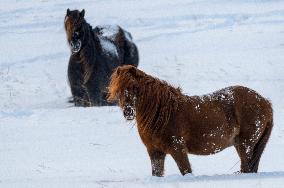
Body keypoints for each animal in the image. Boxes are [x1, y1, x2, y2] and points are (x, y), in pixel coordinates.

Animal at [108, 65, 272, 177]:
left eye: (135, 87)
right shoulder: (155, 152)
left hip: (245, 144)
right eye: (118, 90)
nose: (128, 112)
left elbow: (186, 170)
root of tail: (265, 102)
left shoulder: (178, 148)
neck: (162, 113)